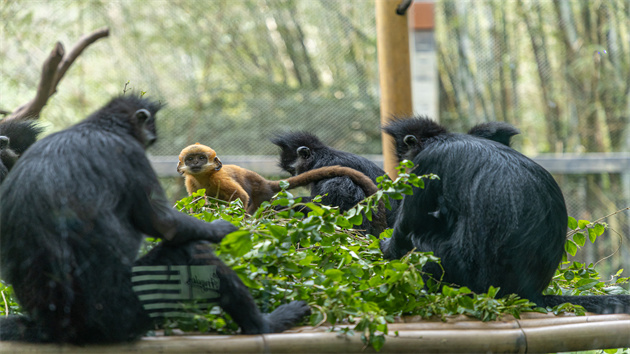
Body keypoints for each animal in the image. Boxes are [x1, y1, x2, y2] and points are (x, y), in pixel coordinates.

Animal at [0, 96, 312, 342]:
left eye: (200, 159)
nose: (152, 136)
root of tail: (52, 327)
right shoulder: (134, 156)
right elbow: (165, 223)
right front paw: (223, 229)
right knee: (192, 251)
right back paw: (265, 324)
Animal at [380, 116, 630, 312]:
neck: (444, 139)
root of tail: (530, 292)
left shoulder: (426, 165)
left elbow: (406, 229)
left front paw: (385, 248)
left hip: (467, 276)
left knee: (422, 245)